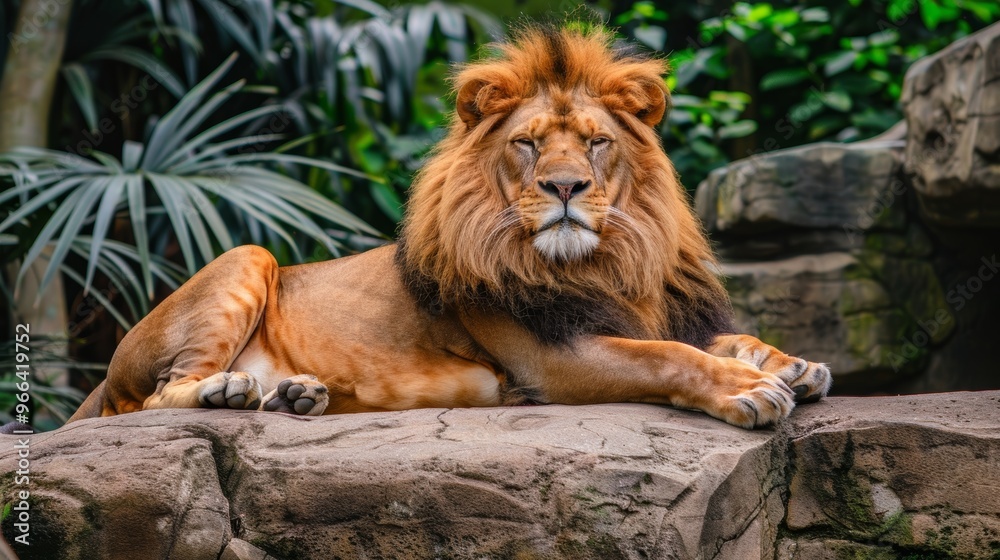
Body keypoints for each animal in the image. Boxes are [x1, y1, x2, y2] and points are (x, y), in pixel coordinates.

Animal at [68, 25, 831, 429]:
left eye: (595, 143)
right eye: (527, 144)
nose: (564, 187)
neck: (603, 261)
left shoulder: (654, 307)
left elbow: (722, 339)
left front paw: (792, 365)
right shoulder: (549, 359)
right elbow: (668, 357)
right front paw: (747, 390)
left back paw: (293, 393)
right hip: (245, 257)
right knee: (154, 399)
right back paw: (227, 390)